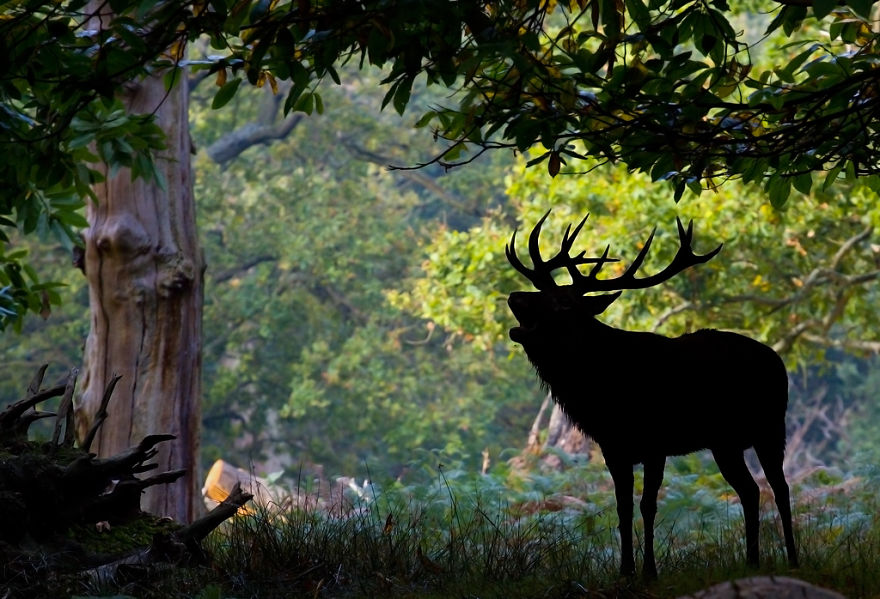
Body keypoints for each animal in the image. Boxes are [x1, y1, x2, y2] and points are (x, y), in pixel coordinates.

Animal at [505, 211, 799, 579]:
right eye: (540, 291)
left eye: (563, 303)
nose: (514, 296)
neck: (595, 389)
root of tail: (778, 362)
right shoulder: (613, 447)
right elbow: (622, 507)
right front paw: (625, 570)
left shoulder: (655, 443)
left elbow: (647, 505)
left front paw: (649, 571)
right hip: (725, 444)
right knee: (750, 490)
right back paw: (751, 561)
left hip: (770, 429)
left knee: (780, 488)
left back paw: (792, 559)